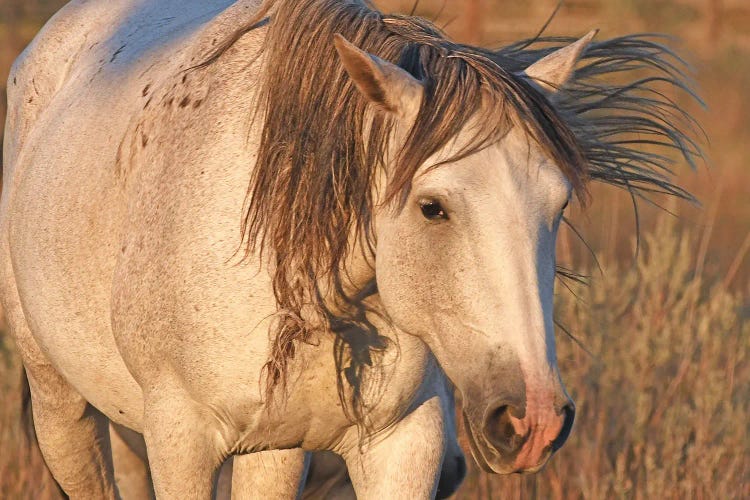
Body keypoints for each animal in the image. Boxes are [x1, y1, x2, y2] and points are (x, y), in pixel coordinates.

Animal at [2, 0, 704, 500]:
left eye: (558, 209)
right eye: (432, 207)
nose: (532, 422)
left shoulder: (404, 443)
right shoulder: (182, 442)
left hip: (270, 453)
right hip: (63, 407)